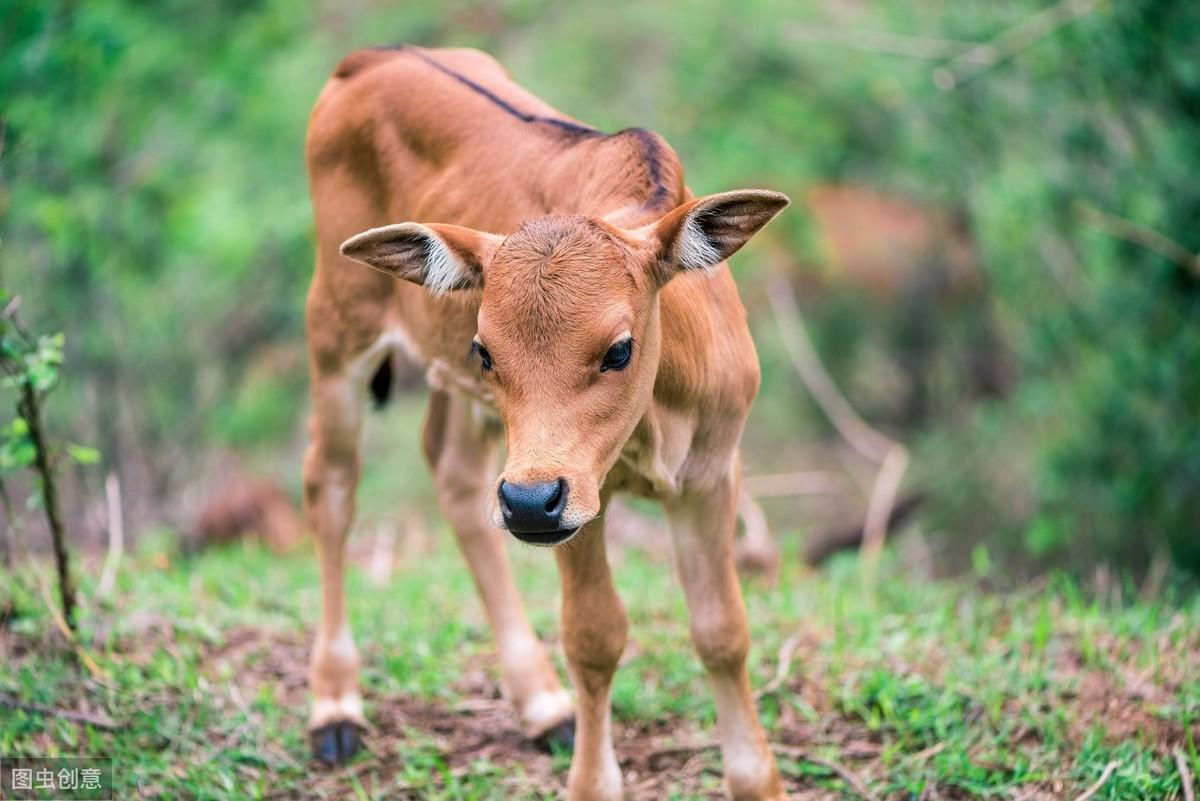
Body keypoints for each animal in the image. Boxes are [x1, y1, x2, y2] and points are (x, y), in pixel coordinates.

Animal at [300, 47, 787, 796]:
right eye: (486, 350)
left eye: (619, 349)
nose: (530, 501)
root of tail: (366, 61)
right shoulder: (580, 503)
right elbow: (594, 636)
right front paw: (592, 781)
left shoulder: (710, 472)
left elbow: (721, 630)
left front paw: (757, 778)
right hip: (337, 329)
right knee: (331, 486)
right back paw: (334, 705)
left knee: (454, 478)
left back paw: (540, 701)